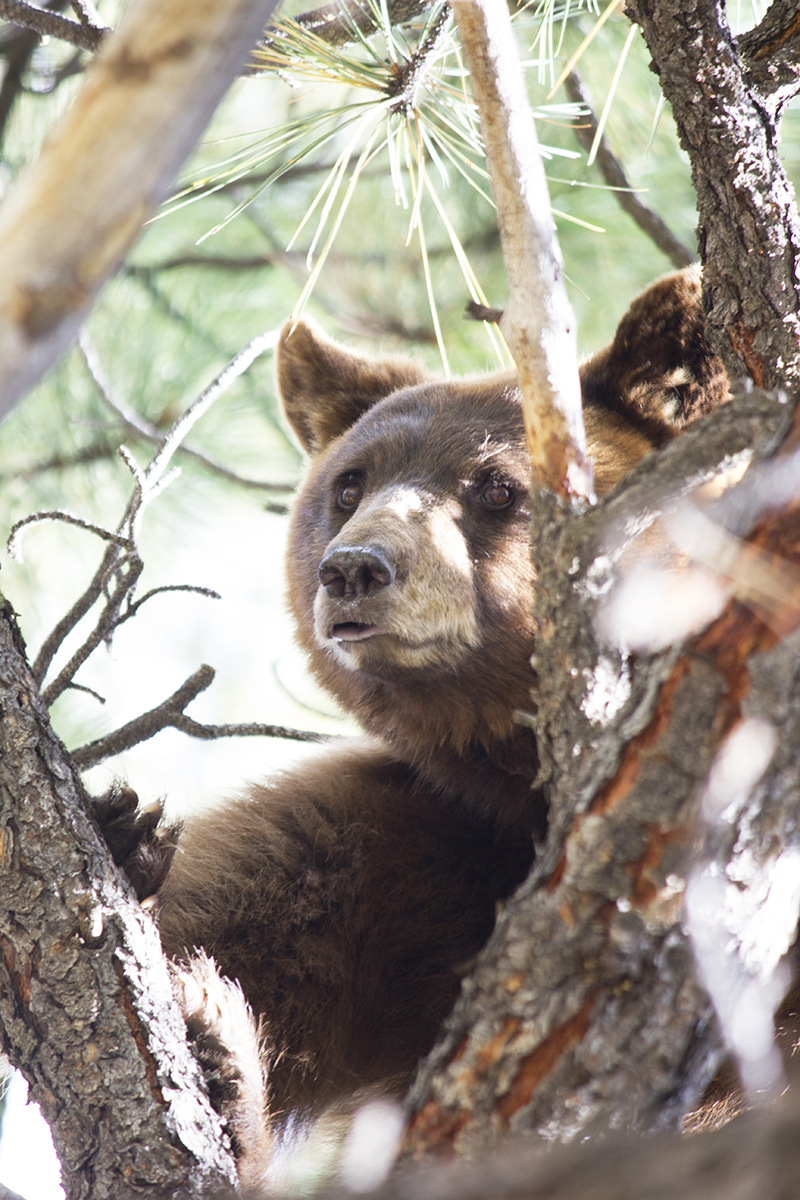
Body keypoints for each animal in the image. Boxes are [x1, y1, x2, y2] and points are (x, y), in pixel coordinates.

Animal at [97, 265, 729, 1180]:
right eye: (349, 484)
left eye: (497, 485)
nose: (355, 569)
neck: (529, 781)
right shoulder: (412, 836)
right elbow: (250, 902)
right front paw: (129, 839)